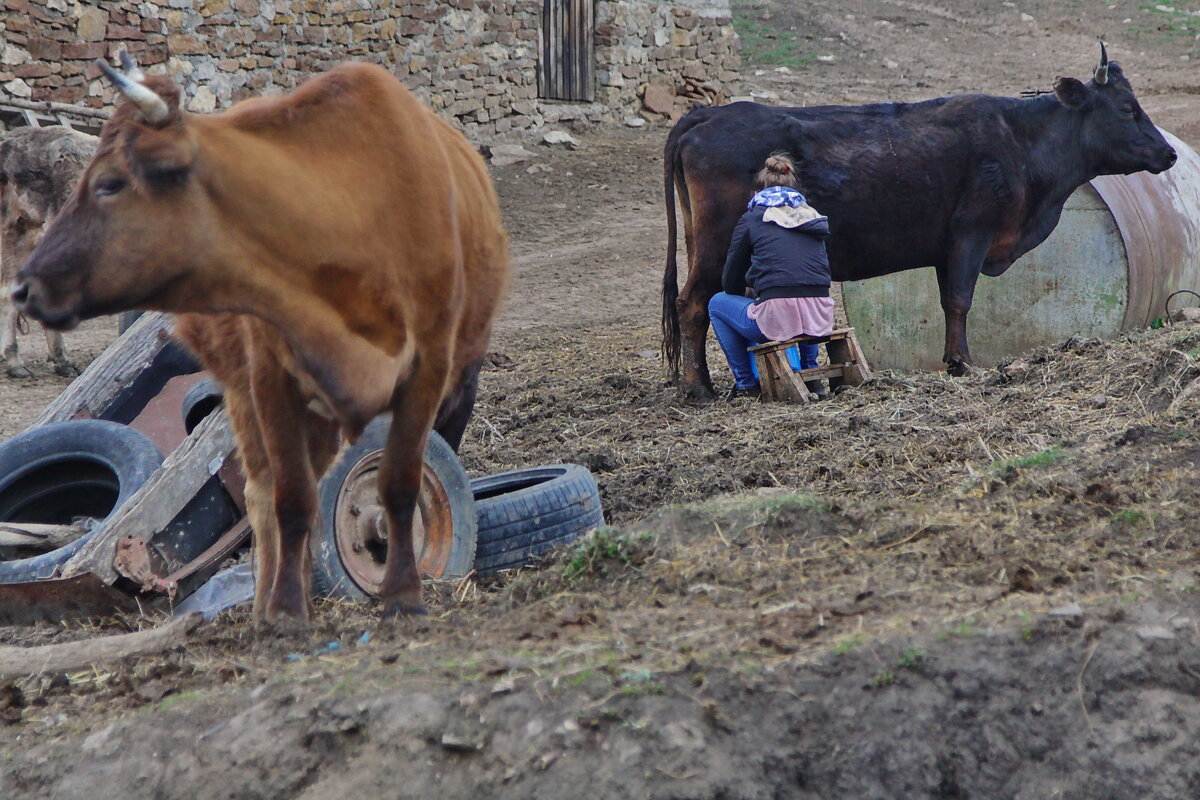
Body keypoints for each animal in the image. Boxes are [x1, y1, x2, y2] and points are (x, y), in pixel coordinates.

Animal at [14, 57, 511, 623]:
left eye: (110, 183)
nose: (24, 287)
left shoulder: (432, 375)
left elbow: (403, 484)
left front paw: (404, 594)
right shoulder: (271, 381)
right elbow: (290, 499)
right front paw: (287, 610)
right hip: (242, 392)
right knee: (262, 493)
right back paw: (268, 602)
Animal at [667, 47, 1180, 400]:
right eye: (1127, 110)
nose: (1170, 153)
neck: (1020, 141)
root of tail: (712, 113)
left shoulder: (944, 248)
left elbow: (947, 301)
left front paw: (954, 359)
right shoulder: (971, 234)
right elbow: (960, 300)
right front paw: (963, 364)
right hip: (716, 244)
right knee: (692, 304)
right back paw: (698, 388)